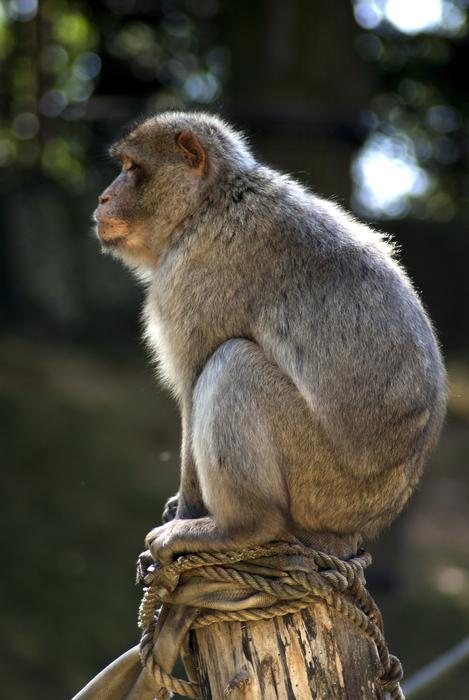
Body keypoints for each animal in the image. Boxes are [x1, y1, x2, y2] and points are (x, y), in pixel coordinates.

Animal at [94, 111, 446, 563]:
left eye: (133, 168)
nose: (103, 197)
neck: (208, 205)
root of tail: (355, 528)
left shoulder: (190, 280)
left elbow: (193, 384)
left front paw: (186, 510)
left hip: (318, 483)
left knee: (233, 363)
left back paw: (238, 527)